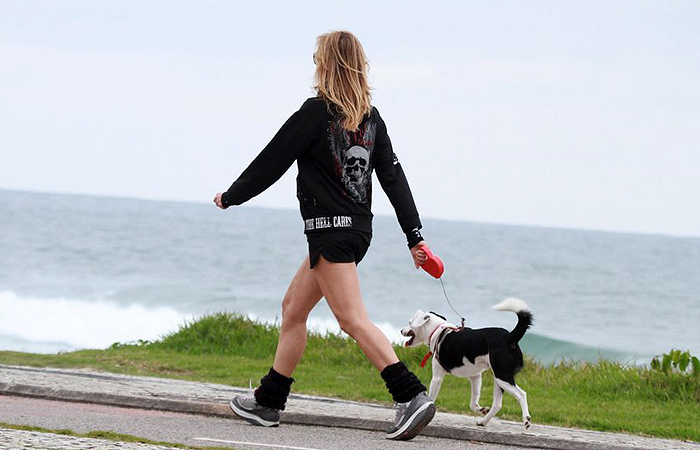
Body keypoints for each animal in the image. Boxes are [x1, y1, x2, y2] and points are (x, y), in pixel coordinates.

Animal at [402, 298, 532, 428]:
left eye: (409, 322)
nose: (401, 330)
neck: (438, 330)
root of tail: (511, 337)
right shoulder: (475, 377)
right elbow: (473, 403)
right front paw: (481, 410)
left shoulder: (437, 378)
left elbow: (431, 398)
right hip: (499, 379)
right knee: (497, 404)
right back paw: (483, 421)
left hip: (503, 376)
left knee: (522, 394)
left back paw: (526, 419)